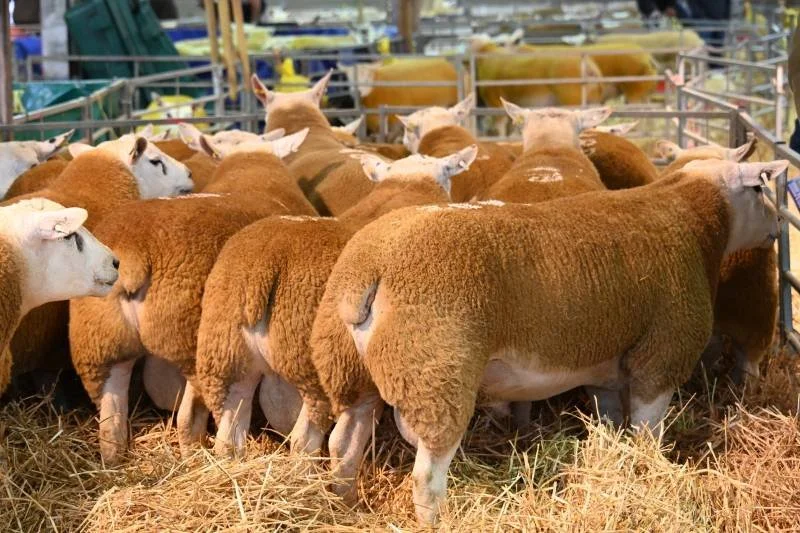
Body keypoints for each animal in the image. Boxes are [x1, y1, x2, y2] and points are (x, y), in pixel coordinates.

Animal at [68, 130, 317, 463]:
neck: (251, 165)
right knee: (187, 420)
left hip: (97, 346)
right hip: (190, 344)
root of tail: (135, 250)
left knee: (111, 426)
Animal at [194, 146, 478, 459]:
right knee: (306, 439)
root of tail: (267, 263)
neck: (408, 185)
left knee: (229, 435)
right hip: (317, 370)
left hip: (227, 355)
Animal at [311, 157, 786, 525]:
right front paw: (647, 471)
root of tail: (369, 267)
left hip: (349, 368)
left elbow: (610, 421)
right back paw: (435, 521)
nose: (781, 226)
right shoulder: (661, 354)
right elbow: (647, 433)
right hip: (435, 375)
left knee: (344, 443)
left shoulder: (605, 364)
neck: (695, 221)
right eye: (760, 187)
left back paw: (346, 504)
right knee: (426, 476)